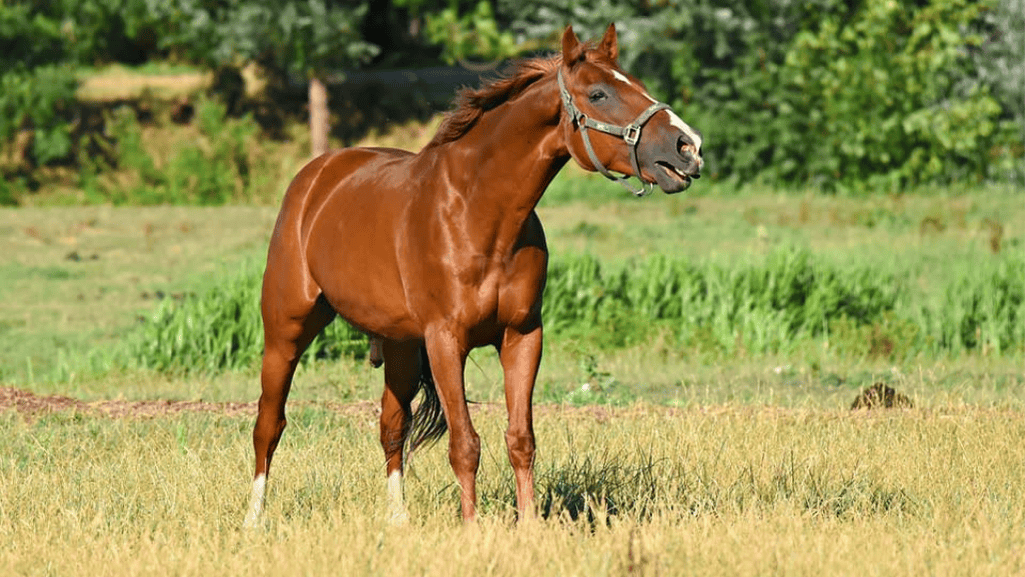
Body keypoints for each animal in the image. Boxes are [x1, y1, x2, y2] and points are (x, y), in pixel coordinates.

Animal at [243, 23, 703, 526]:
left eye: (638, 83)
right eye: (598, 93)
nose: (688, 147)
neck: (479, 212)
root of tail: (316, 175)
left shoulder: (522, 335)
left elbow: (521, 440)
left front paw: (530, 526)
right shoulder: (447, 340)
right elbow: (465, 444)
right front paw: (472, 529)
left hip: (400, 346)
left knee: (391, 426)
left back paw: (398, 521)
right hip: (286, 329)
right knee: (269, 422)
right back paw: (253, 520)